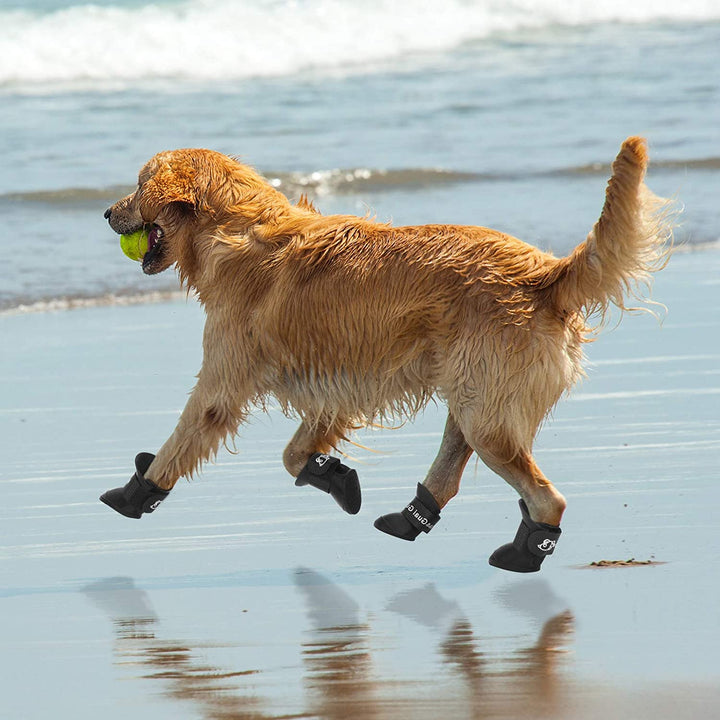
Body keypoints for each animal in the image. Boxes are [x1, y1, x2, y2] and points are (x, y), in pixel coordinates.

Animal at [102, 136, 676, 572]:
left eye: (138, 184)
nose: (106, 211)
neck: (234, 229)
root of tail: (544, 275)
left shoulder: (223, 381)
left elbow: (182, 440)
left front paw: (138, 491)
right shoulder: (337, 386)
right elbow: (295, 454)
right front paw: (333, 474)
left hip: (486, 411)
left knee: (546, 496)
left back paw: (523, 553)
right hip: (473, 394)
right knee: (453, 466)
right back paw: (412, 517)